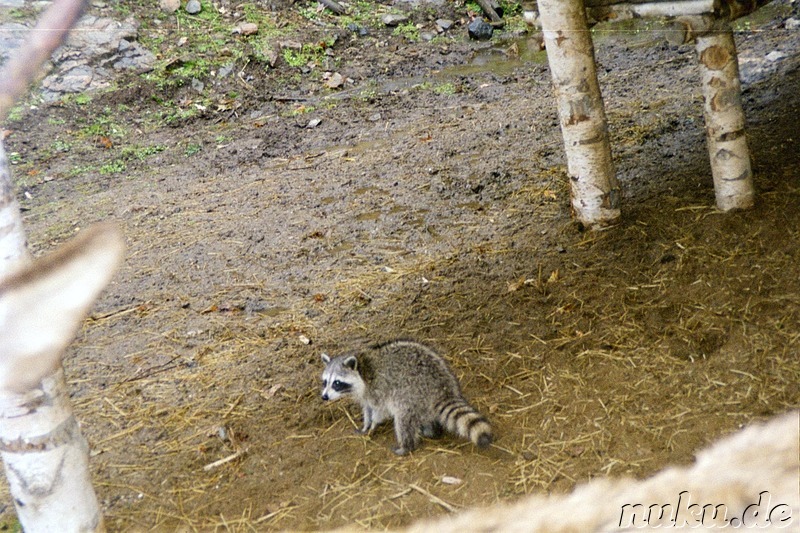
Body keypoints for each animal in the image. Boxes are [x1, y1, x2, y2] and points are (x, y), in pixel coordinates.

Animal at [320, 340, 494, 454]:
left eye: (337, 383)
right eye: (325, 382)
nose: (324, 397)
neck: (362, 368)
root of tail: (443, 388)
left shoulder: (379, 388)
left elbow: (379, 410)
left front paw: (373, 425)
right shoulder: (366, 394)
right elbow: (367, 408)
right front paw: (365, 425)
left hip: (410, 394)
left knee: (403, 420)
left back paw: (406, 446)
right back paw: (429, 430)